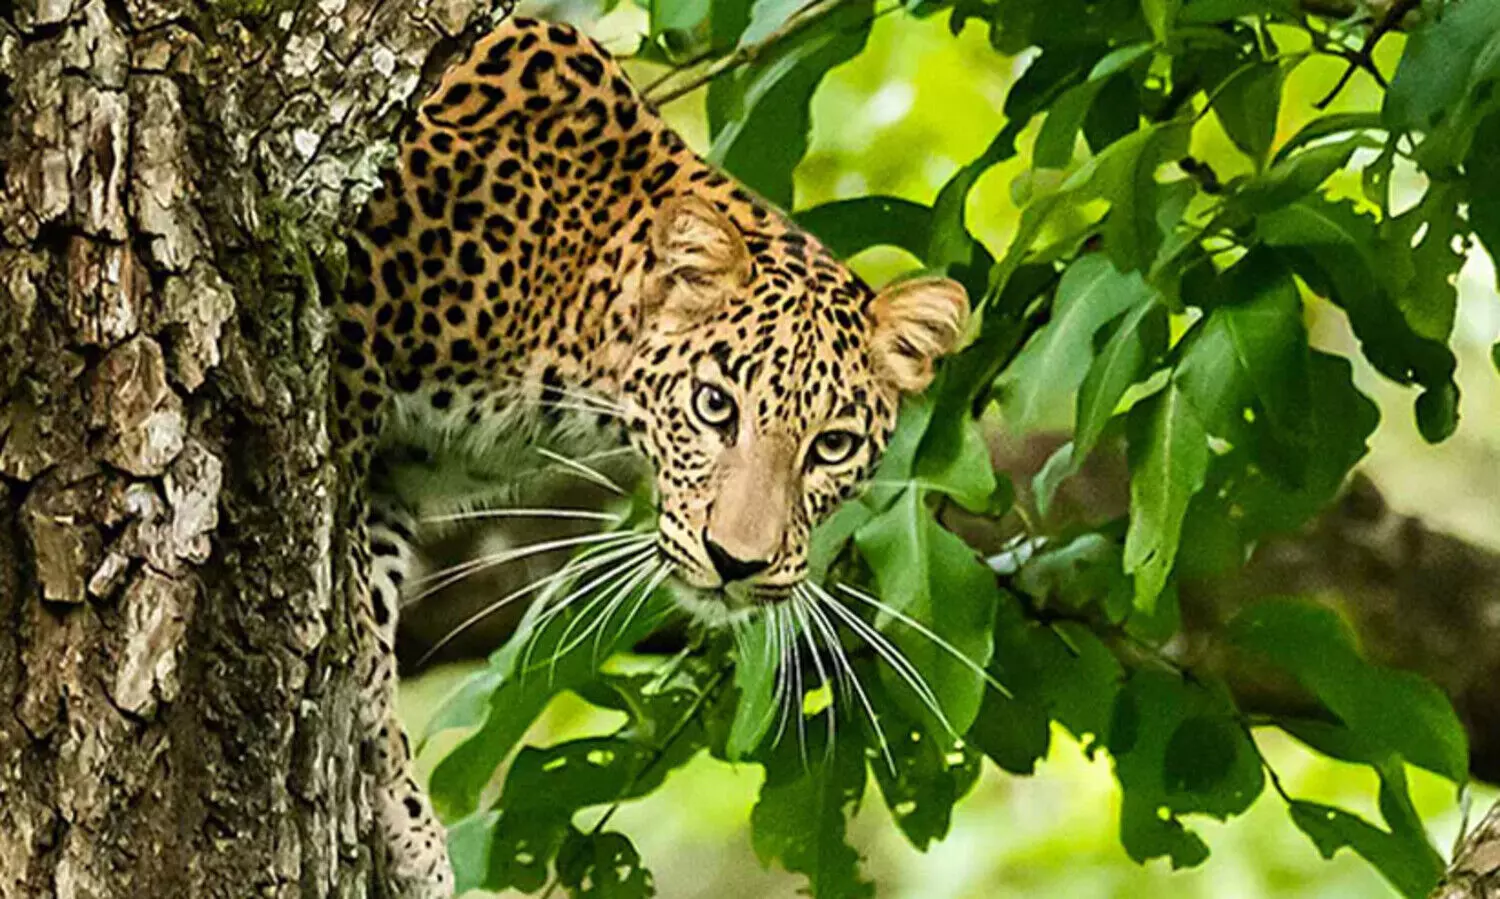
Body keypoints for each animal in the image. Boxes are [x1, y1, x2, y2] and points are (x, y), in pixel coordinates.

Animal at [332, 14, 969, 896]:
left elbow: (372, 602)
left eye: (832, 446)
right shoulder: (352, 344)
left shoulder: (391, 472)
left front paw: (401, 818)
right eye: (714, 405)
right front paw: (392, 794)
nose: (736, 562)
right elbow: (359, 628)